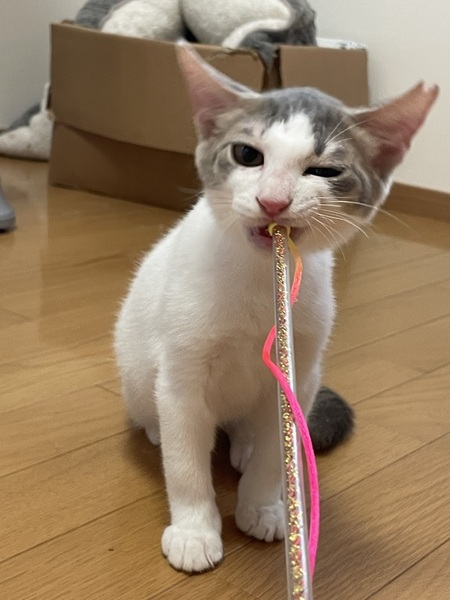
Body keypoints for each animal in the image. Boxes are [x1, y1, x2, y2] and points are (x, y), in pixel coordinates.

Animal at [114, 44, 438, 573]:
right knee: (160, 412)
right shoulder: (182, 372)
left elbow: (275, 454)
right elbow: (186, 462)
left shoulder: (299, 373)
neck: (263, 287)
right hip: (138, 368)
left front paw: (265, 507)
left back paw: (244, 444)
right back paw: (159, 430)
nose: (272, 202)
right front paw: (194, 530)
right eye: (247, 155)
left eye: (325, 171)